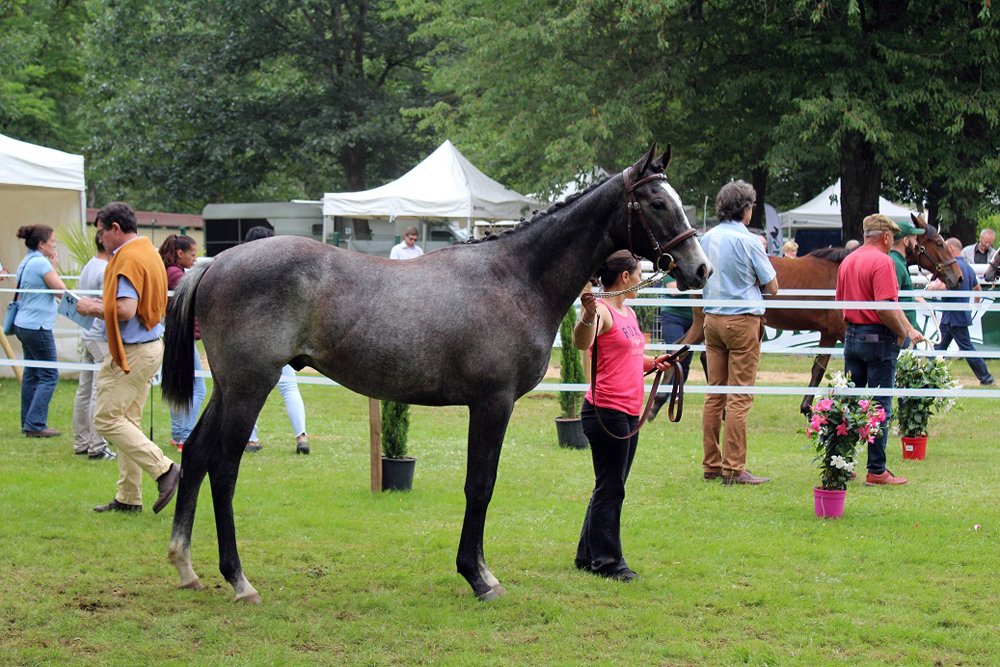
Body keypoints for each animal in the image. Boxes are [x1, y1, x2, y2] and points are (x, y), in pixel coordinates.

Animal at [159, 145, 712, 604]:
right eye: (657, 203)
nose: (700, 269)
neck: (516, 278)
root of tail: (216, 263)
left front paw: (478, 571)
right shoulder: (492, 403)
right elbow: (480, 485)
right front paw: (479, 577)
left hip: (228, 388)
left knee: (198, 453)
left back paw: (185, 567)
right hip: (250, 386)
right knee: (224, 468)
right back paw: (239, 580)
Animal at [650, 212, 962, 418]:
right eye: (938, 242)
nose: (957, 277)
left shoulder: (828, 334)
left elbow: (818, 368)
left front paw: (807, 406)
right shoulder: (836, 333)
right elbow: (826, 370)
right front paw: (812, 408)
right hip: (705, 321)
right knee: (683, 349)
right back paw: (661, 402)